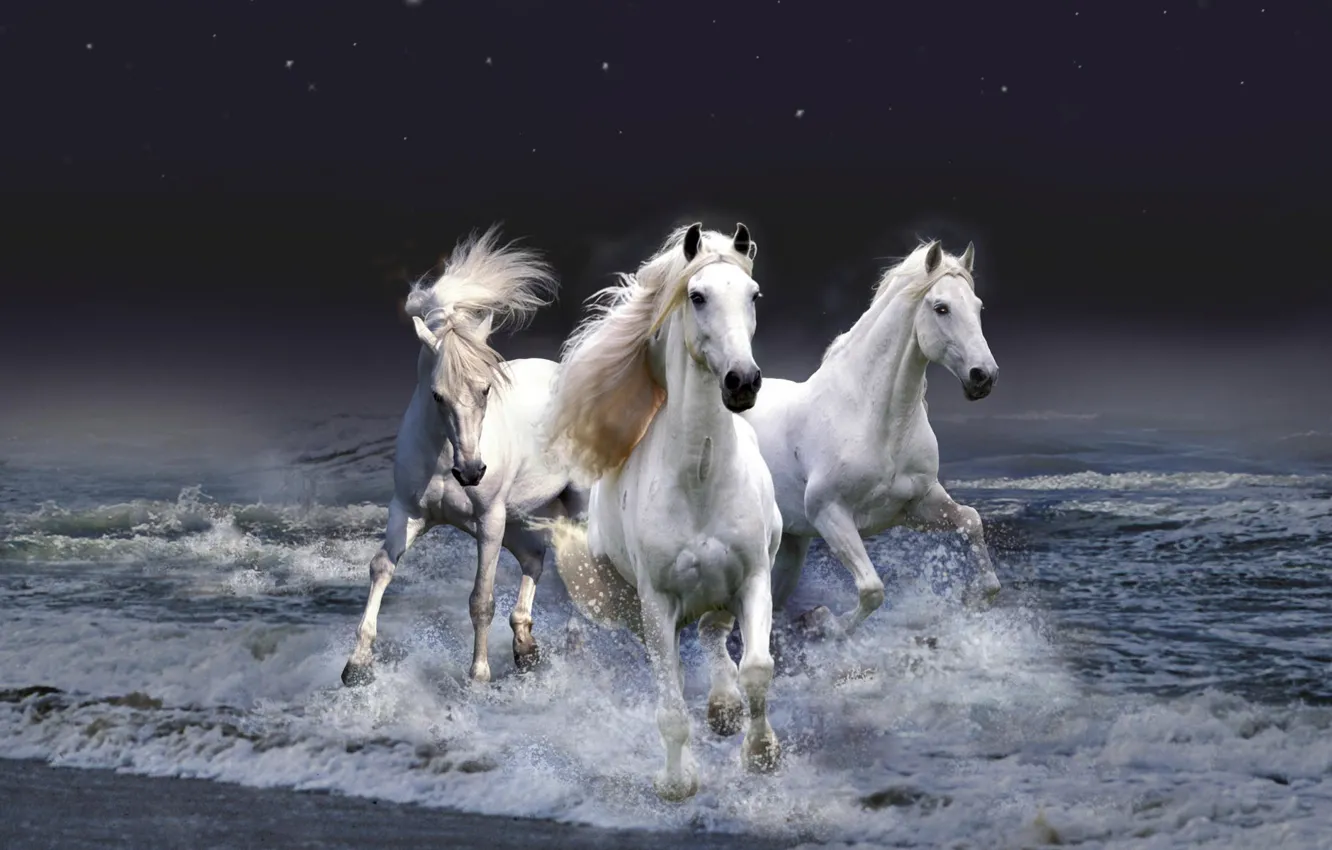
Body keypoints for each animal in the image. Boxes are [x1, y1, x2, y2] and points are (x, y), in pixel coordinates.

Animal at [341, 226, 587, 687]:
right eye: (437, 395)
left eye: (486, 389)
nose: (471, 472)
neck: (443, 458)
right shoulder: (408, 512)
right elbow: (381, 567)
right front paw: (356, 665)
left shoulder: (489, 521)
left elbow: (481, 599)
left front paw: (478, 677)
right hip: (521, 516)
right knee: (535, 559)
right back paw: (525, 647)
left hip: (571, 506)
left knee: (580, 567)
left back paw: (573, 644)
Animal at [540, 222, 783, 802]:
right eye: (697, 296)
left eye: (753, 295)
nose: (743, 382)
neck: (700, 479)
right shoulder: (657, 603)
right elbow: (671, 707)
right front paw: (677, 783)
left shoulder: (753, 577)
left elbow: (757, 668)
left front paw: (761, 754)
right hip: (634, 605)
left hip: (723, 590)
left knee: (716, 635)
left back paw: (724, 709)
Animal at [740, 240, 1002, 640]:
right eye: (941, 308)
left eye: (978, 306)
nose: (983, 376)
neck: (875, 420)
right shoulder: (830, 514)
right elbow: (872, 589)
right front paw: (824, 622)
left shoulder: (916, 506)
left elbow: (971, 522)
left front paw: (972, 600)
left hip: (790, 547)